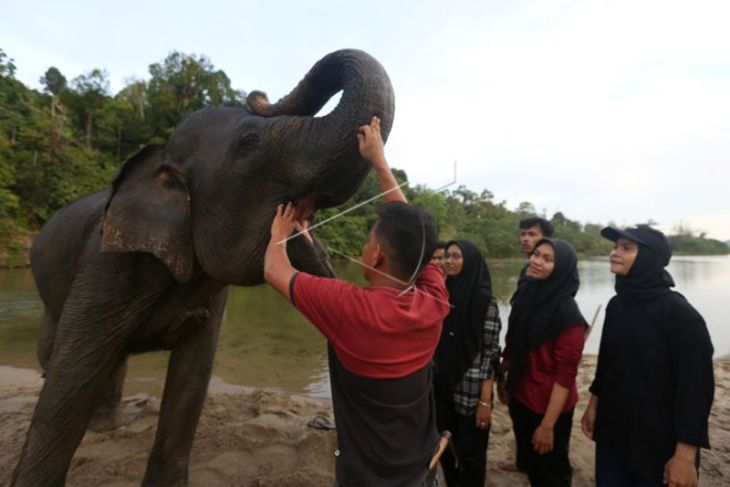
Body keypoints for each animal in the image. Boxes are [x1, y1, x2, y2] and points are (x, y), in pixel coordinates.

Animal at [9, 50, 392, 487]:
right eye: (249, 143)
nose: (257, 94)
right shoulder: (106, 262)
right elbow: (71, 378)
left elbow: (193, 375)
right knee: (54, 352)